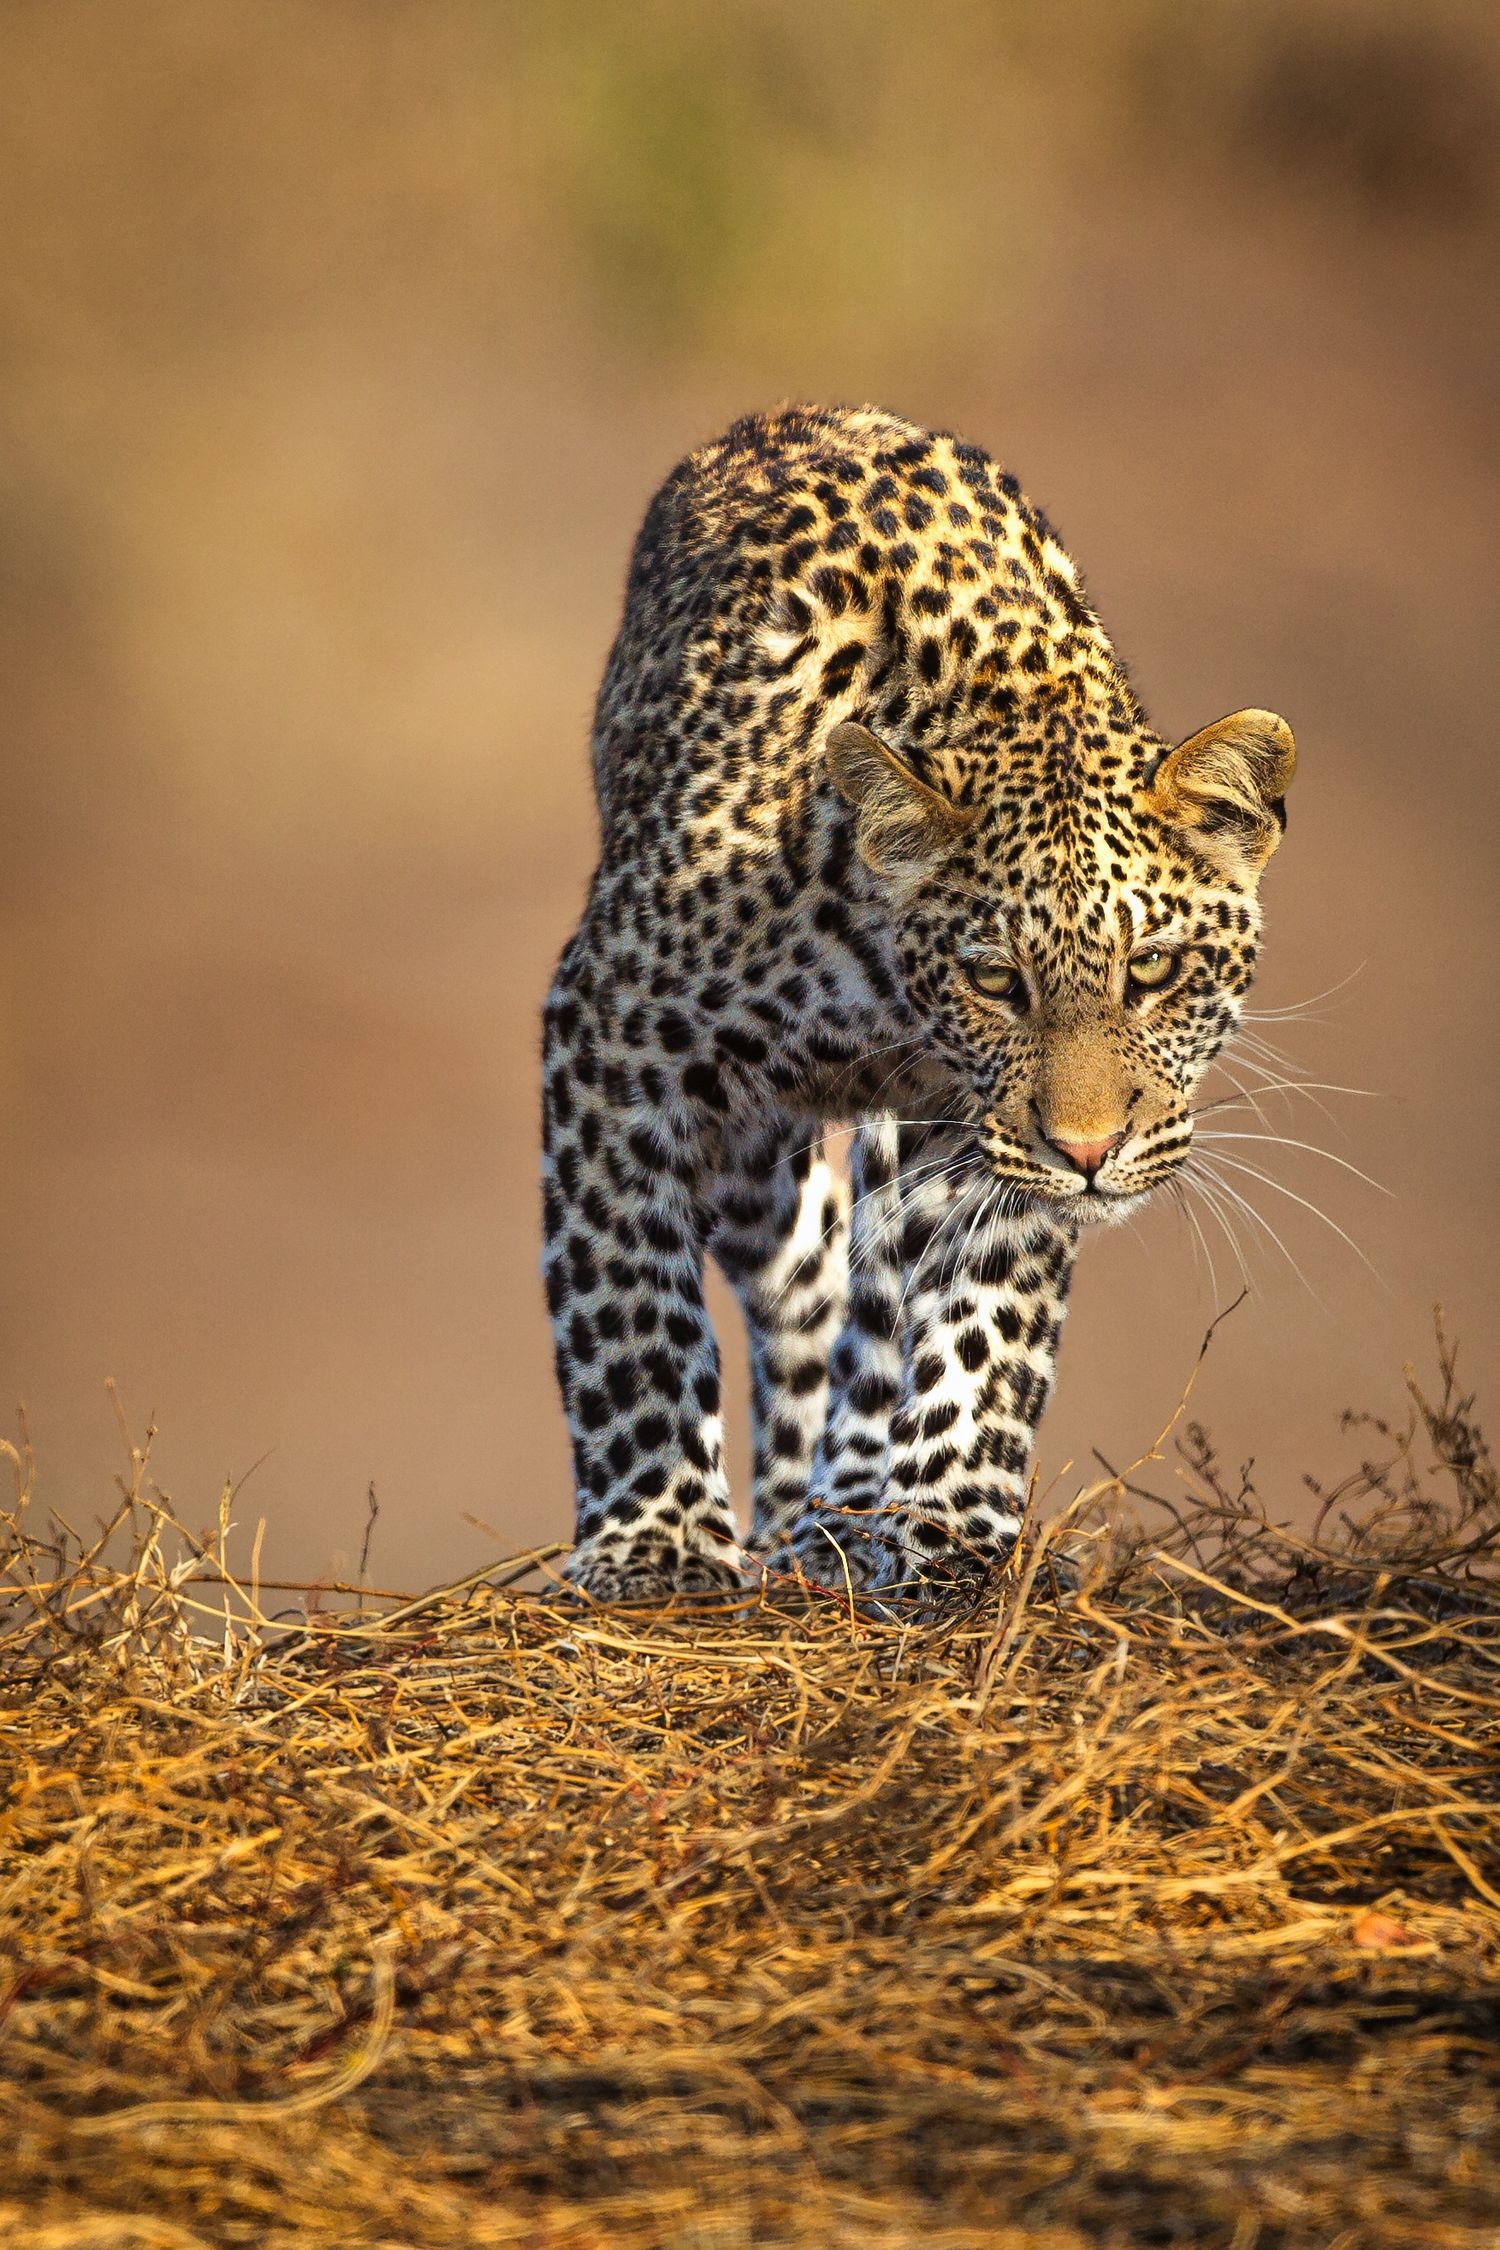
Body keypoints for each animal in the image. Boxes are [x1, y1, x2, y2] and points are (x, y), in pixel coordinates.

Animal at [541, 403, 1296, 1603]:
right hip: (754, 1161)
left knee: (870, 1312)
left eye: (1152, 971)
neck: (887, 985)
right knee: (799, 1305)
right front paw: (657, 1542)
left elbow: (983, 1324)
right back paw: (794, 1520)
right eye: (997, 981)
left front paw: (951, 1529)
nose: (1092, 1152)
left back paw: (846, 1514)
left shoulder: (984, 1141)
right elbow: (627, 1301)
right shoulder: (613, 1033)